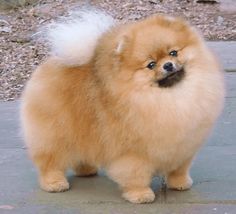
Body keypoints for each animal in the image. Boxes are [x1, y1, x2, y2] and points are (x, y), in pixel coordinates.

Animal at [20, 10, 225, 204]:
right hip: (54, 134)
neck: (169, 97)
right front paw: (140, 195)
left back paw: (87, 170)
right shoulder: (133, 153)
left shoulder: (184, 145)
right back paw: (54, 183)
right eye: (151, 65)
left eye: (173, 53)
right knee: (49, 160)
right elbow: (136, 174)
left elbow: (179, 169)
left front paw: (180, 183)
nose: (167, 65)